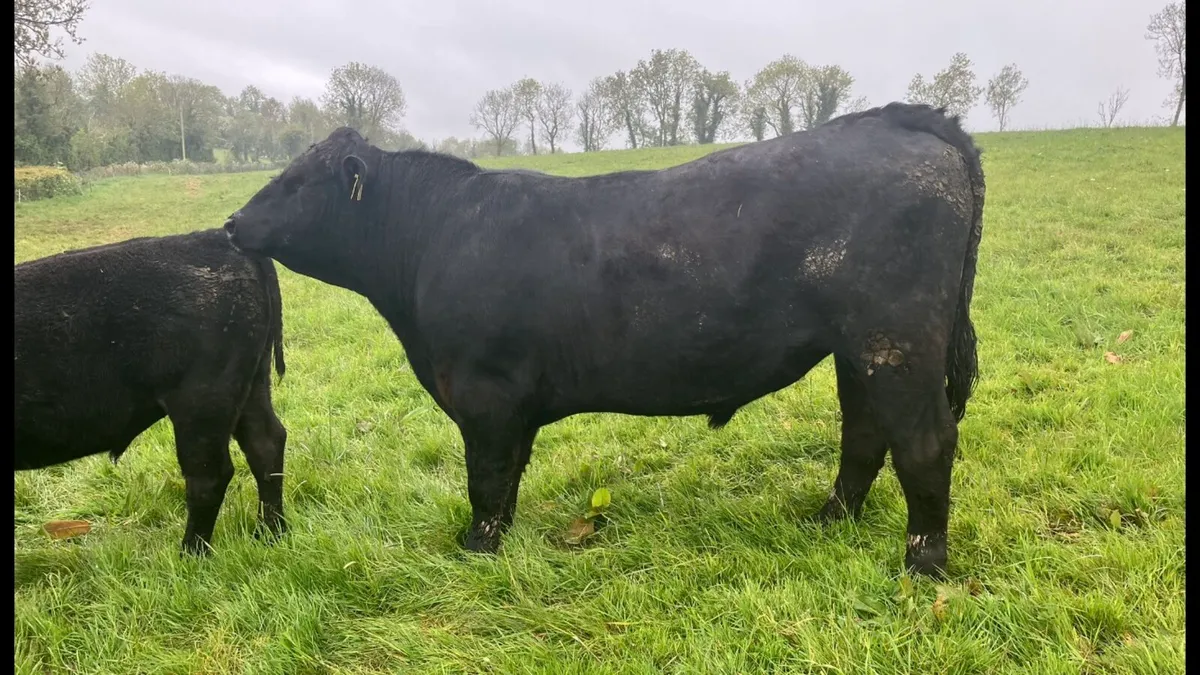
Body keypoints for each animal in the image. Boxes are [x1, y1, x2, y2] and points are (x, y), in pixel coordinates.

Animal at [15, 229, 289, 555]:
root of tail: (216, 236)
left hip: (202, 401)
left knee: (208, 475)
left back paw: (191, 554)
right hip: (251, 386)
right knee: (265, 444)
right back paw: (271, 533)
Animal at [223, 102, 985, 578]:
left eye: (297, 182)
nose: (231, 222)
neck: (434, 236)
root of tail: (899, 120)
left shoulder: (485, 392)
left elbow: (485, 477)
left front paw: (477, 549)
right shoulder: (512, 403)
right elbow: (506, 476)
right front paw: (499, 538)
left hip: (897, 340)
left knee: (924, 442)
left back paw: (922, 563)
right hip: (861, 350)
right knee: (864, 432)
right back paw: (829, 521)